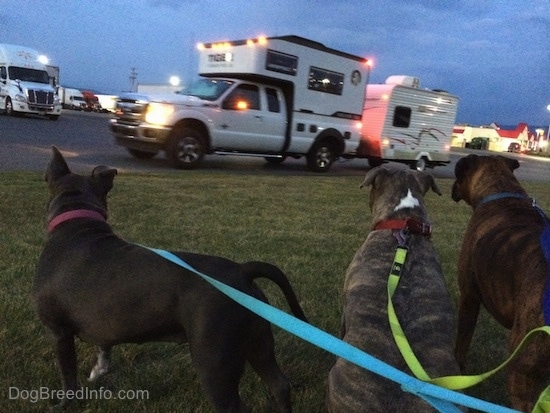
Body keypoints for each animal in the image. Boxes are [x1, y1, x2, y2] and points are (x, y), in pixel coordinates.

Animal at [35, 146, 310, 410]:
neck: (77, 222)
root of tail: (243, 270)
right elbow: (103, 348)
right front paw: (99, 370)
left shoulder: (58, 332)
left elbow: (68, 376)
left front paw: (64, 404)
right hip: (258, 344)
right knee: (279, 385)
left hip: (214, 363)